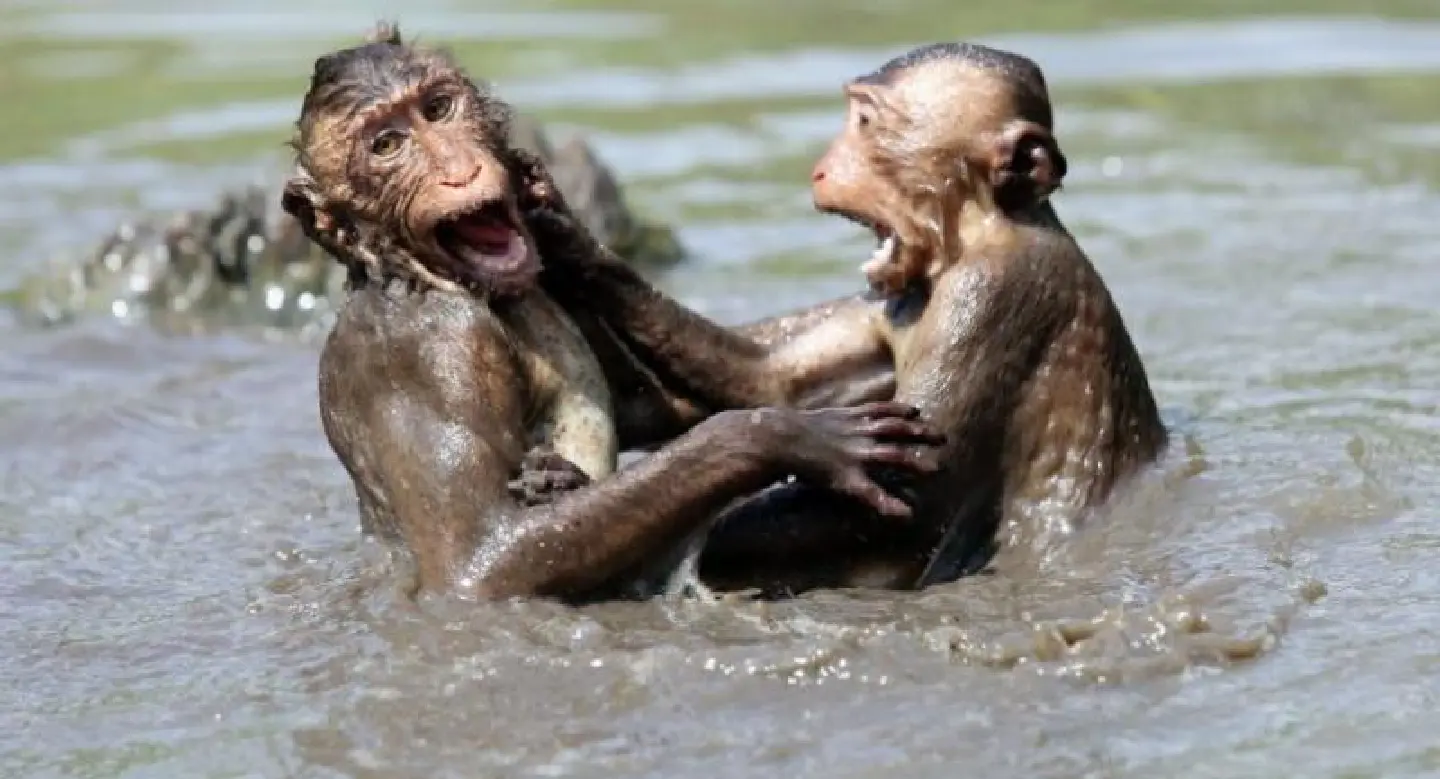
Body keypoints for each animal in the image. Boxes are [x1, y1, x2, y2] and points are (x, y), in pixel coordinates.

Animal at [278, 25, 946, 601]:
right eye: (386, 145)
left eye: (438, 108)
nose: (458, 171)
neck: (421, 271)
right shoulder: (434, 347)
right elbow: (486, 563)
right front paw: (785, 436)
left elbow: (657, 402)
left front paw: (567, 231)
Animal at [525, 42, 1169, 596]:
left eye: (864, 121)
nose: (820, 168)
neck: (982, 231)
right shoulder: (899, 299)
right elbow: (774, 379)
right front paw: (564, 234)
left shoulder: (992, 297)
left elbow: (908, 502)